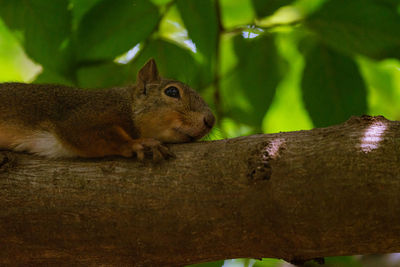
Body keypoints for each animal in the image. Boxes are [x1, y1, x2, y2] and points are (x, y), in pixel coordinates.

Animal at [0, 58, 216, 161]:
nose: (210, 120)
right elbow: (84, 132)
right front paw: (137, 144)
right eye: (172, 91)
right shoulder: (86, 114)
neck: (127, 106)